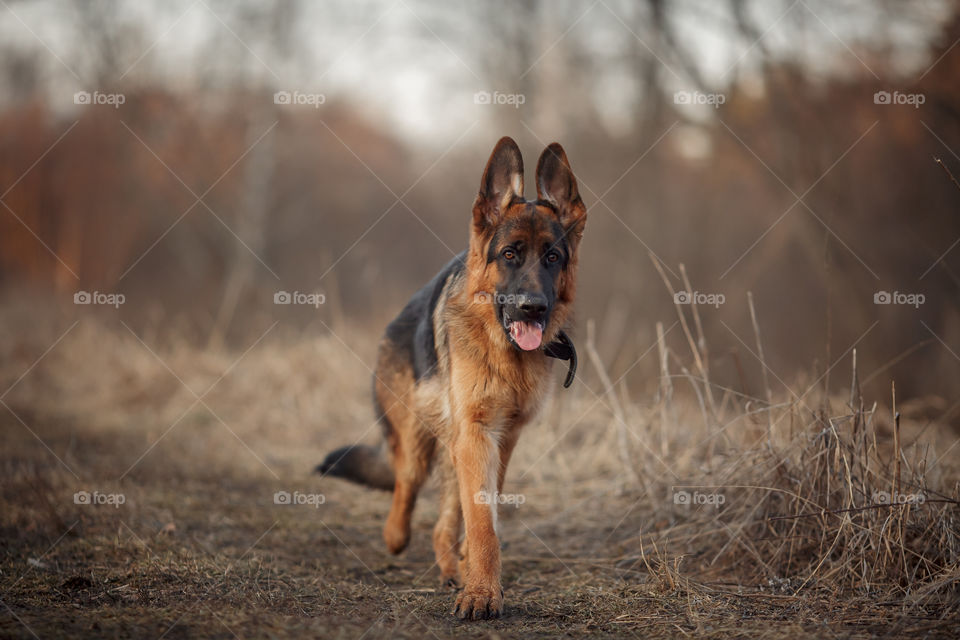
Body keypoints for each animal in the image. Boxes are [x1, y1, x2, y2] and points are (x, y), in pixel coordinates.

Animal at [318, 136, 584, 620]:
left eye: (553, 257)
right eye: (510, 254)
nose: (533, 307)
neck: (504, 353)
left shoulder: (502, 438)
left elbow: (480, 515)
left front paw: (474, 579)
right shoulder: (476, 433)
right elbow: (481, 524)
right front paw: (481, 592)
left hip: (455, 445)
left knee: (444, 518)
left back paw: (450, 565)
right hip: (418, 435)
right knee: (405, 483)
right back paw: (397, 536)